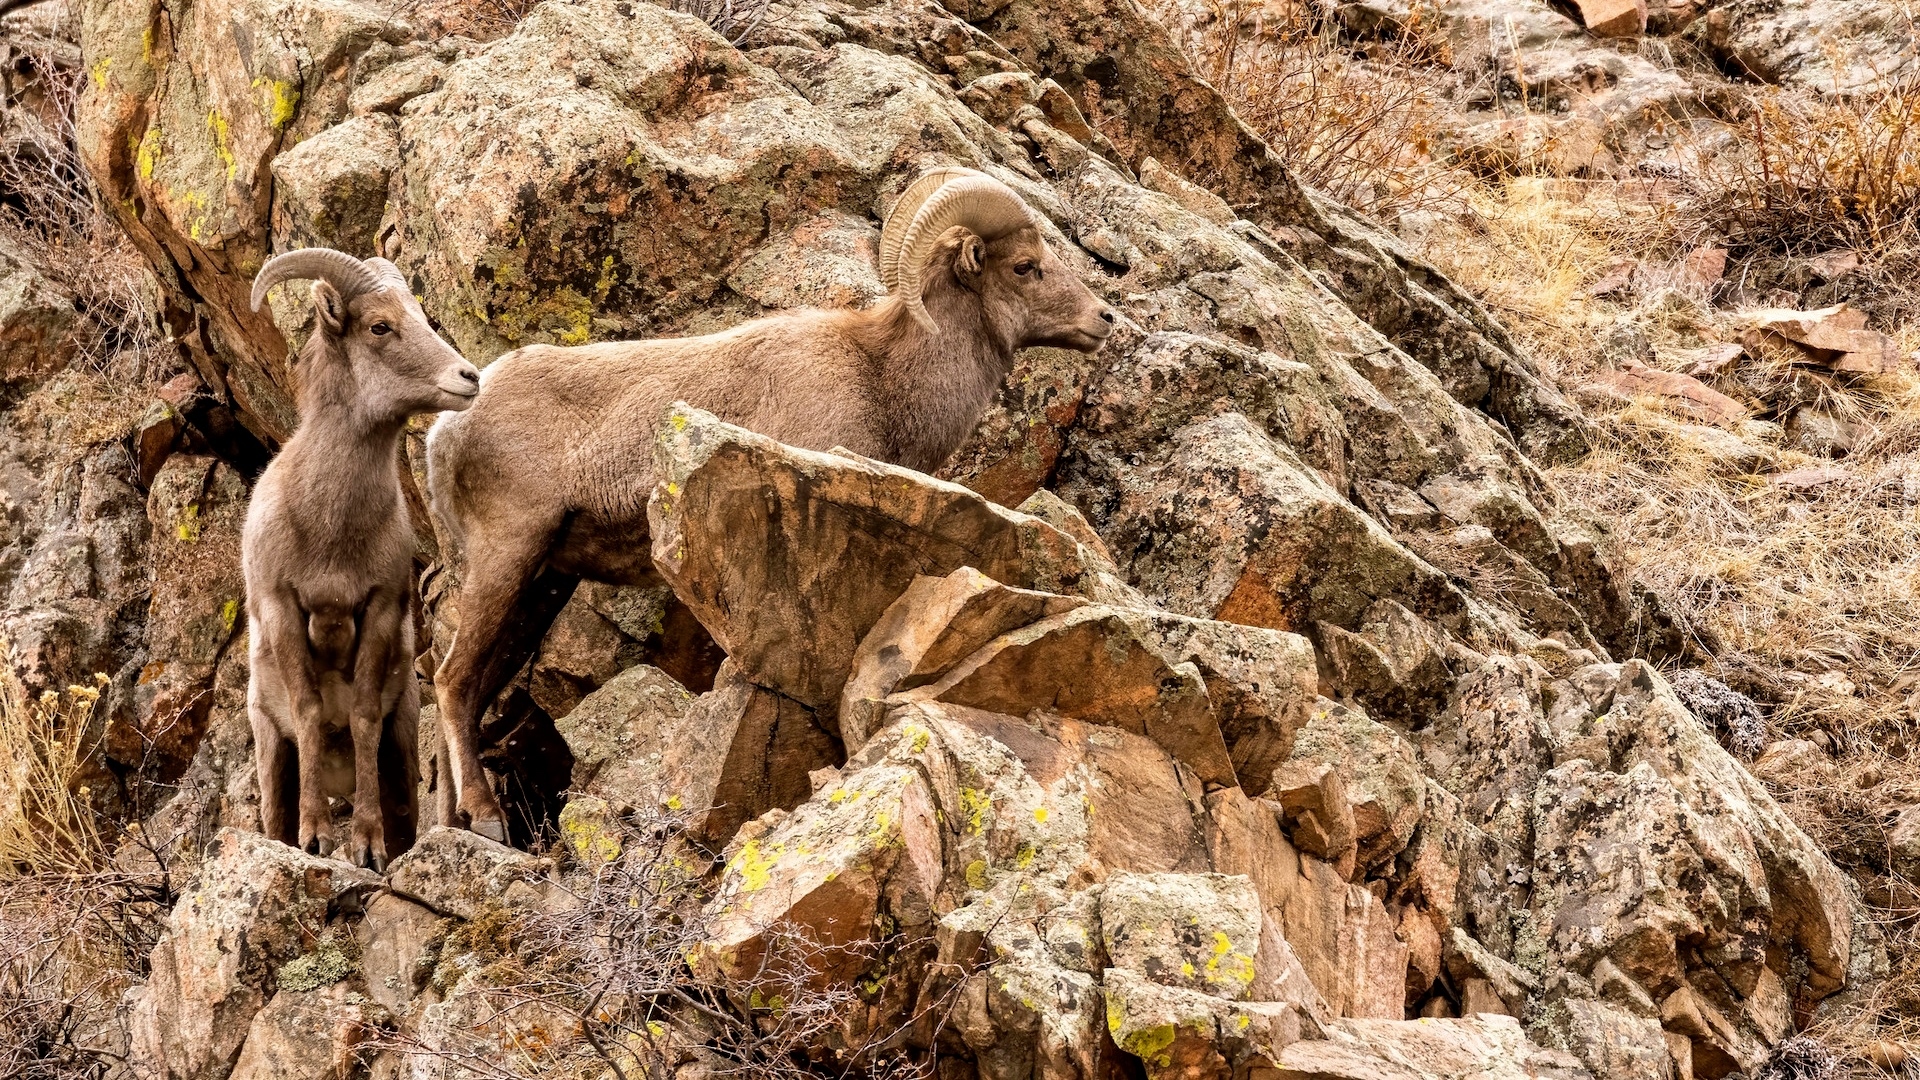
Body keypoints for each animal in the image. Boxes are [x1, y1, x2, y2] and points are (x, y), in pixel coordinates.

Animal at [243, 244, 483, 864]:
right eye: (380, 326)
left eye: (421, 317)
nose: (469, 377)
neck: (329, 533)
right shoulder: (284, 606)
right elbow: (308, 710)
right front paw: (317, 837)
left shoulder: (378, 608)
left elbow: (362, 714)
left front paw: (367, 847)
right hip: (270, 754)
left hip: (403, 759)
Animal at [420, 168, 1113, 841]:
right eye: (1024, 266)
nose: (1105, 318)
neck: (882, 380)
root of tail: (447, 429)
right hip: (507, 557)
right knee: (453, 682)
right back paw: (485, 820)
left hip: (542, 585)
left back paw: (451, 824)